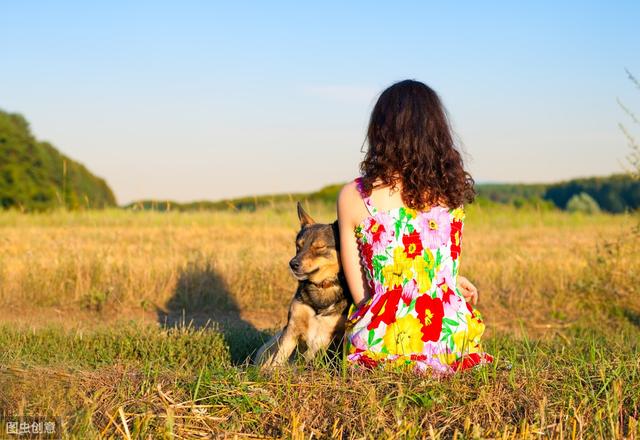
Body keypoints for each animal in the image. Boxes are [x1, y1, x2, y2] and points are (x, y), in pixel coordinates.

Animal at [255, 203, 352, 368]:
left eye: (319, 247)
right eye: (298, 246)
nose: (292, 264)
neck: (321, 287)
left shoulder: (336, 340)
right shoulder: (291, 329)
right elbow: (278, 360)